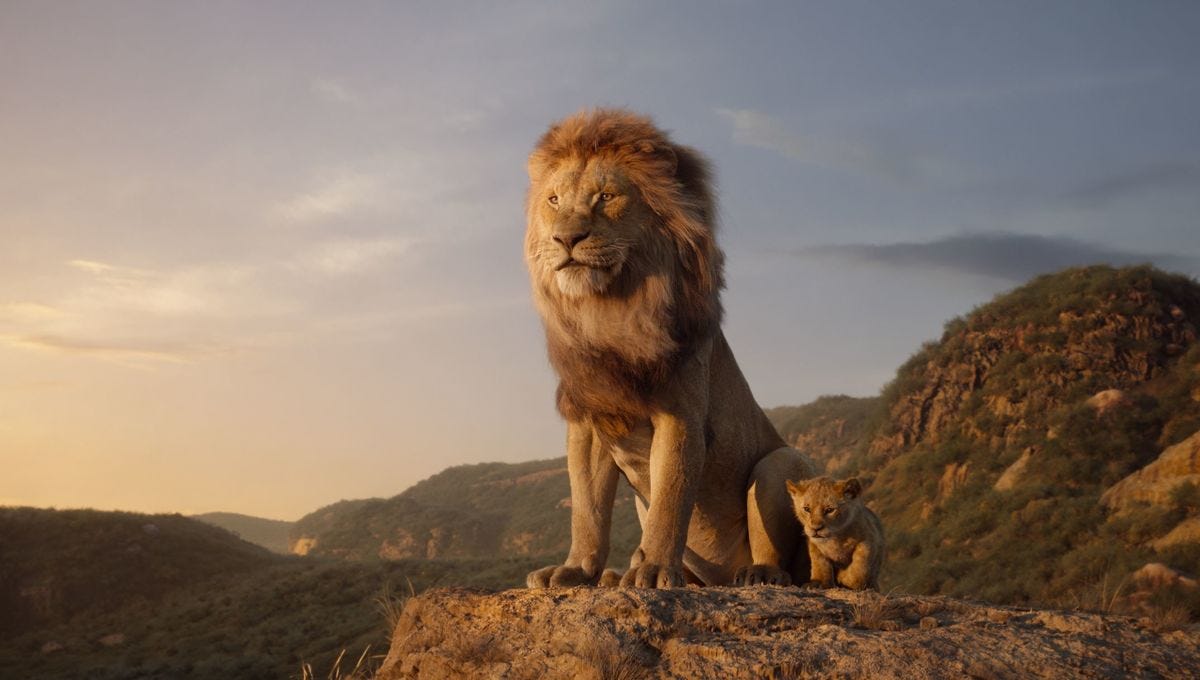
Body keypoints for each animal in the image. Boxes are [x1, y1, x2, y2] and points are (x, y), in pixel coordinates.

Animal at [522, 109, 816, 589]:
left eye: (606, 197)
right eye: (553, 200)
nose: (566, 239)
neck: (610, 310)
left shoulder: (680, 415)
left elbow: (670, 499)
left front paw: (656, 569)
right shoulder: (590, 420)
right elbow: (587, 509)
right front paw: (576, 570)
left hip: (781, 462)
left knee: (781, 557)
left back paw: (757, 574)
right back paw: (616, 575)